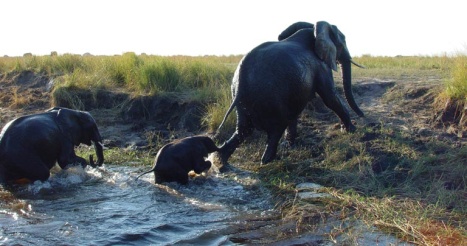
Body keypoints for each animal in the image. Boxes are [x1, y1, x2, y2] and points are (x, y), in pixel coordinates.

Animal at [218, 21, 364, 167]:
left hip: (240, 96)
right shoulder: (320, 65)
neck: (314, 31)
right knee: (276, 129)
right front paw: (352, 130)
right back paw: (267, 160)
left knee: (244, 130)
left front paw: (289, 145)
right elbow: (330, 98)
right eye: (342, 42)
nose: (362, 115)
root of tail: (241, 80)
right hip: (272, 98)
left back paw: (220, 161)